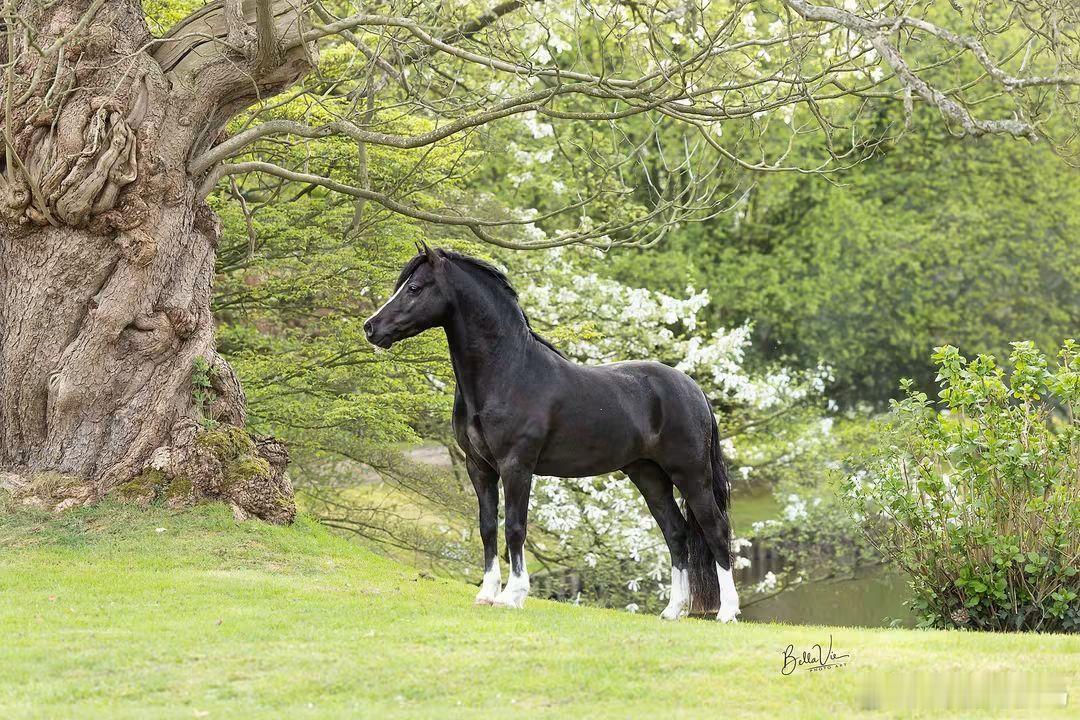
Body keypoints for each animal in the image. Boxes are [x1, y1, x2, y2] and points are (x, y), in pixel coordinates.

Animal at [364, 244, 740, 622]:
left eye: (415, 288)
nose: (370, 327)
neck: (508, 374)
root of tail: (694, 389)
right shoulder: (479, 467)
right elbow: (488, 526)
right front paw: (486, 594)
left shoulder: (517, 465)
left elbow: (515, 527)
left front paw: (512, 595)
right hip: (648, 475)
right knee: (676, 534)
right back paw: (673, 610)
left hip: (691, 474)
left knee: (715, 530)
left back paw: (727, 612)